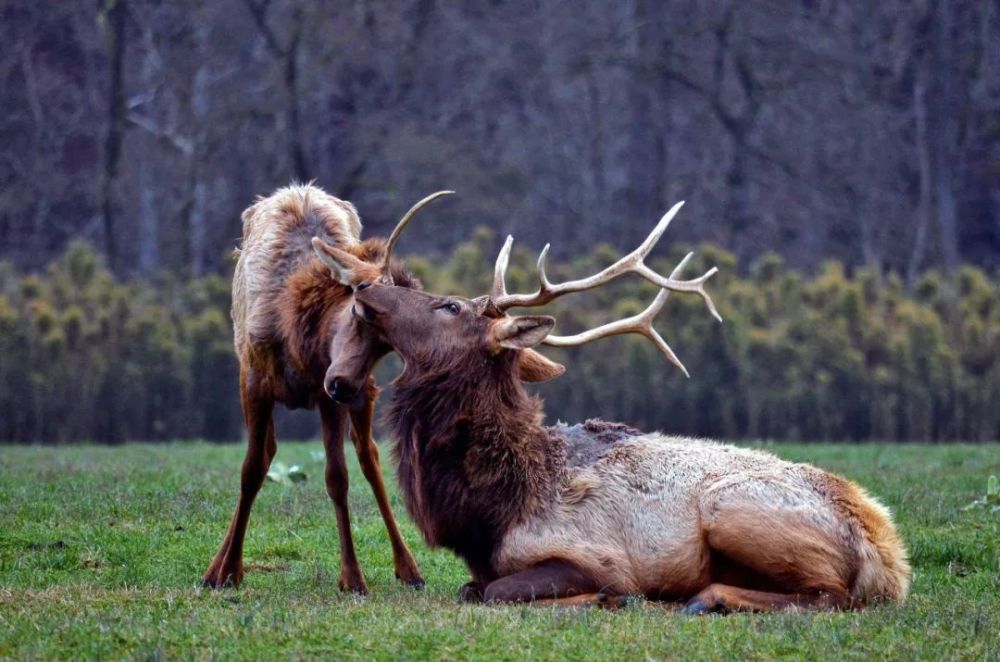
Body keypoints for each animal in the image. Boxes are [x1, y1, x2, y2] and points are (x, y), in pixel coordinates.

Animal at [316, 201, 912, 612]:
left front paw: (609, 598)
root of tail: (890, 559)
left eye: (450, 306)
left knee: (833, 594)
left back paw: (704, 599)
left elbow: (496, 591)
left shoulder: (592, 554)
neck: (490, 511)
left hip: (733, 509)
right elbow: (472, 588)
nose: (366, 291)